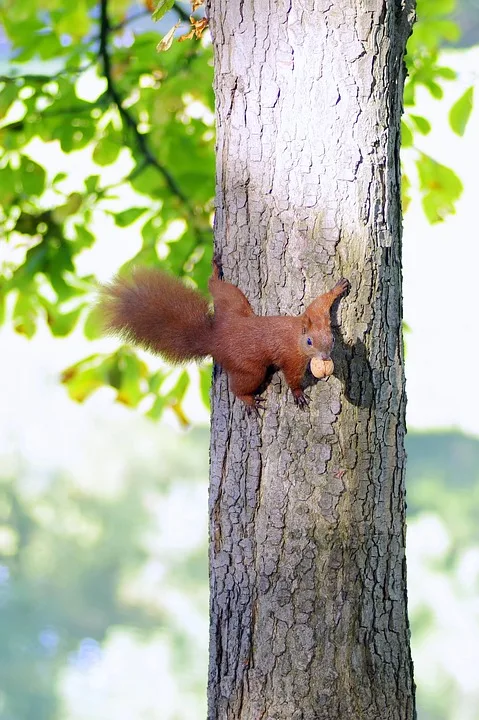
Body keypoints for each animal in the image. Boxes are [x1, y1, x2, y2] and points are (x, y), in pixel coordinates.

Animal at [100, 256, 348, 408]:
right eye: (309, 342)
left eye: (332, 339)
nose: (325, 357)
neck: (296, 334)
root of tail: (214, 338)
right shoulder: (291, 358)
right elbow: (292, 377)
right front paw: (298, 394)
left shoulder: (316, 316)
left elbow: (320, 303)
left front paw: (338, 288)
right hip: (250, 368)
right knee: (239, 386)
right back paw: (248, 400)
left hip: (232, 304)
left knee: (217, 288)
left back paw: (215, 271)